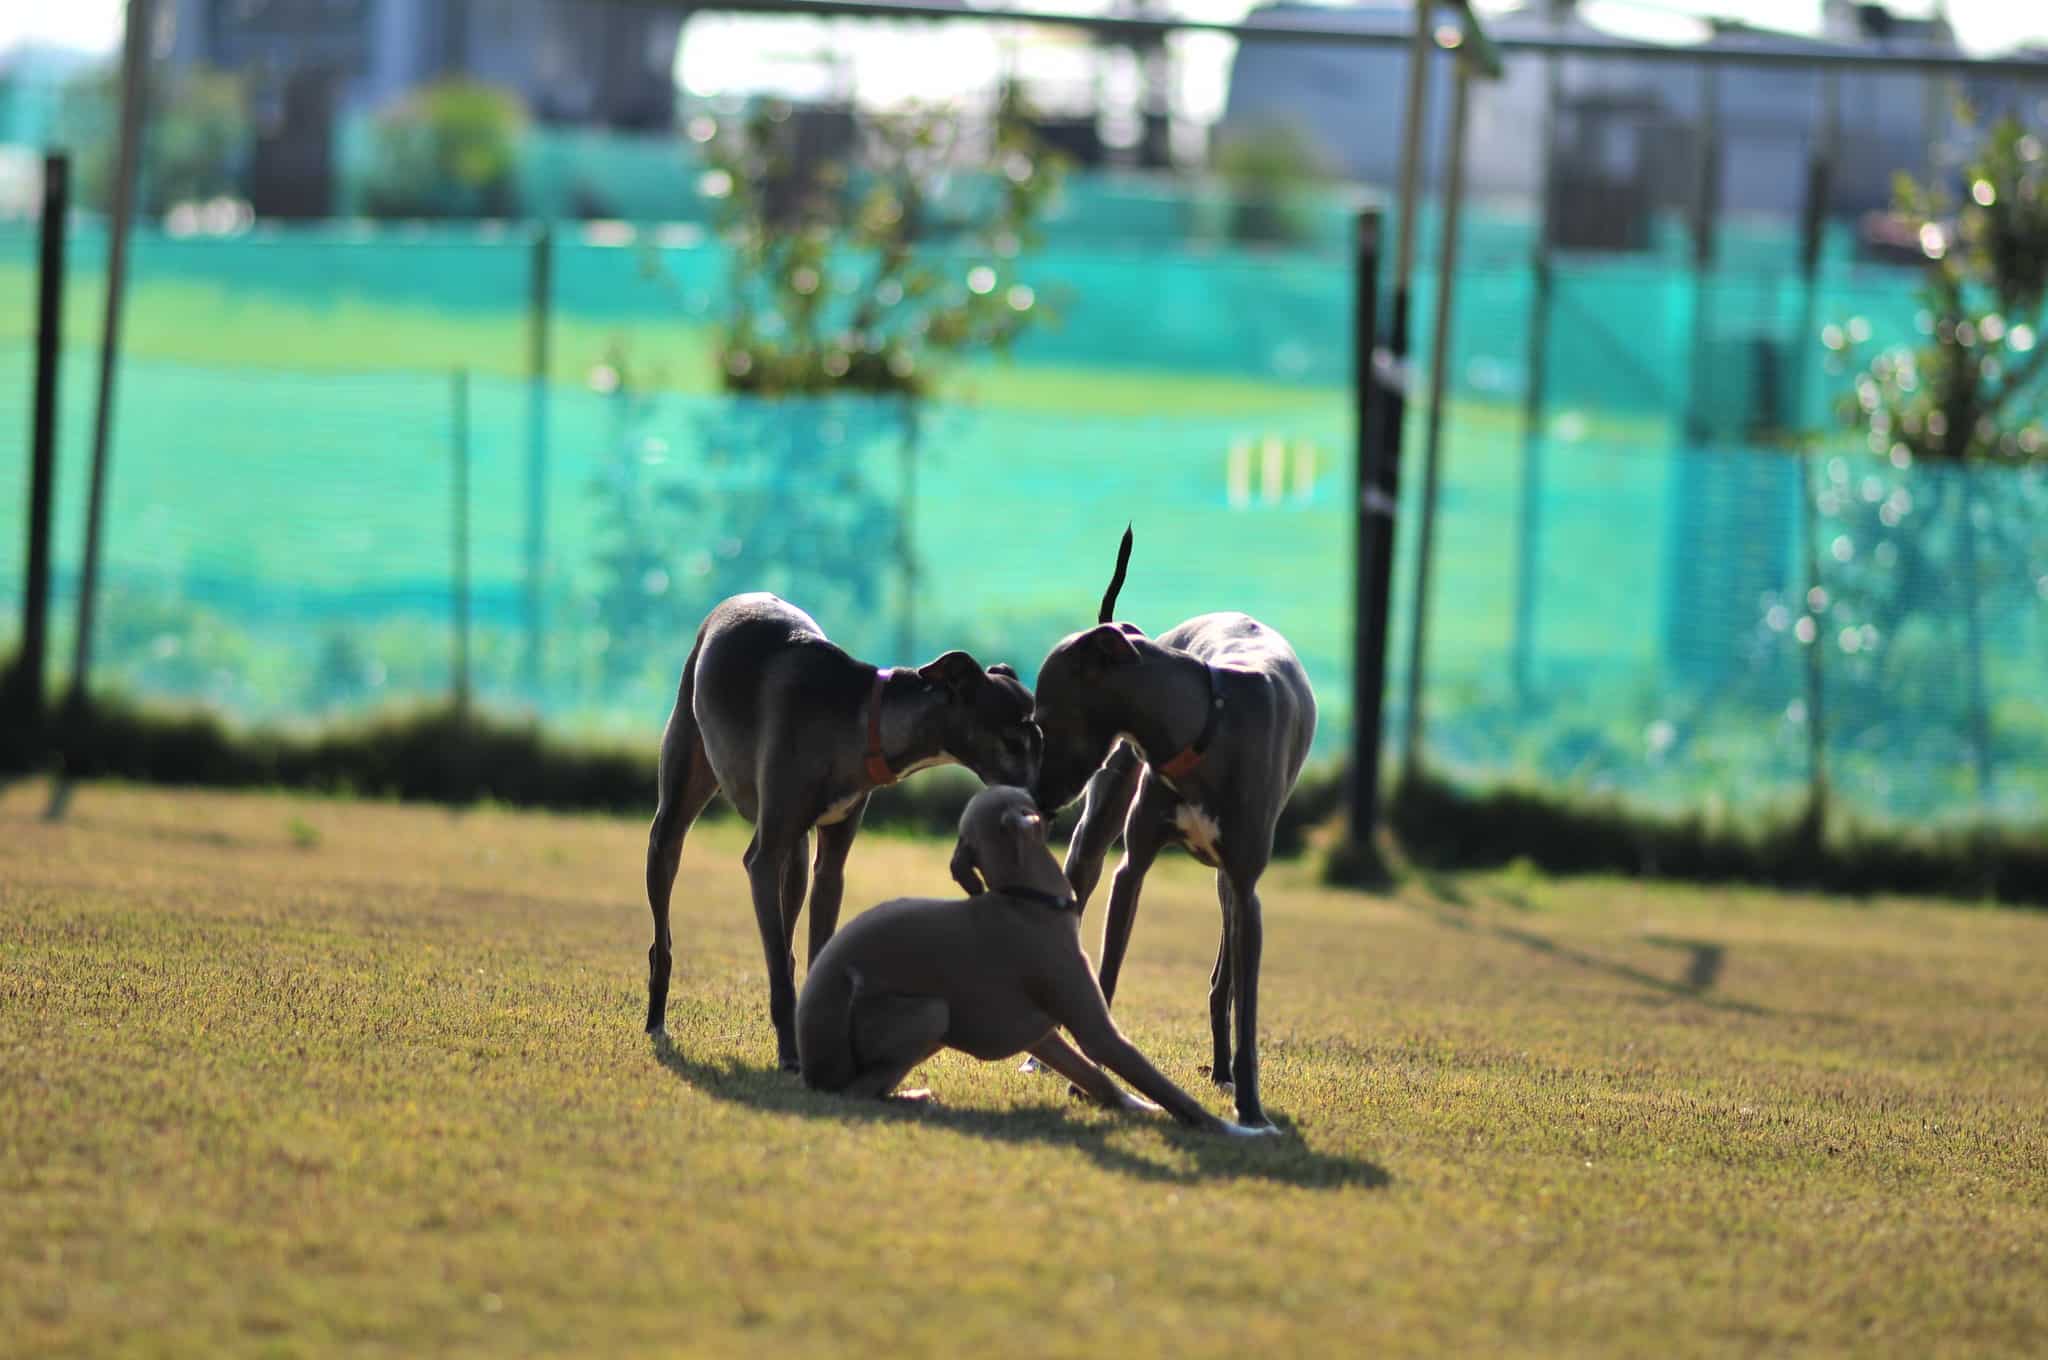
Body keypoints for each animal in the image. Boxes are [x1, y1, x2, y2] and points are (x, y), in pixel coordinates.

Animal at [647, 589, 1040, 1065]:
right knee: (665, 932)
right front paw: (791, 1053)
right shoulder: (762, 860)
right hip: (674, 819)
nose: (1045, 803)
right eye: (1013, 740)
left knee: (788, 926)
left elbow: (815, 944)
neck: (858, 719)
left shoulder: (830, 864)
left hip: (795, 858)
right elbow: (778, 971)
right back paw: (656, 1019)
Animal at [790, 786, 1269, 1138]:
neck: (1026, 899)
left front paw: (1137, 1107)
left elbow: (1100, 1080)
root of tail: (813, 1066)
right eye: (1023, 796)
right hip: (928, 1013)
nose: (1051, 794)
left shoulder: (1043, 1034)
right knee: (859, 1091)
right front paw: (1242, 1130)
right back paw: (915, 1100)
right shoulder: (1096, 1031)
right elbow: (1169, 1090)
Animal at [1040, 532, 1310, 1122]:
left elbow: (1246, 1007)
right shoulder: (1132, 869)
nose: (1037, 797)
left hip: (1229, 886)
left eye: (1044, 717)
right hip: (1093, 839)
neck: (1206, 722)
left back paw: (1225, 1071)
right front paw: (1088, 1080)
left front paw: (1251, 1109)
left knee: (1222, 980)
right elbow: (1105, 975)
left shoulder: (1247, 886)